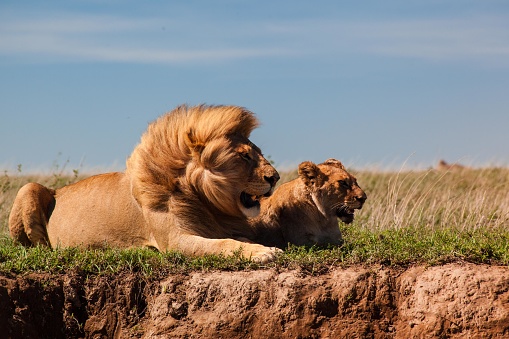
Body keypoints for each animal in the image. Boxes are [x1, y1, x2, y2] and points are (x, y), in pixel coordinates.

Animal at [7, 105, 280, 264]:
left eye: (257, 153)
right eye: (244, 156)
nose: (275, 177)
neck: (205, 202)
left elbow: (234, 240)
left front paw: (262, 247)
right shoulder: (174, 241)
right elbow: (223, 245)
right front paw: (264, 252)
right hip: (28, 188)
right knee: (39, 247)